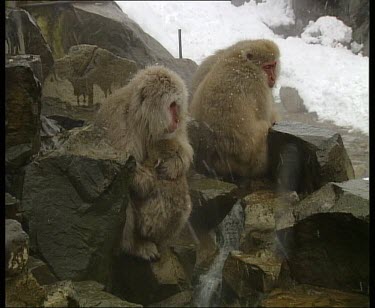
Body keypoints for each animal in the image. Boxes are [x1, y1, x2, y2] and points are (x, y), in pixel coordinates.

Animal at [95, 66, 194, 262]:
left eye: (177, 106)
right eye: (171, 106)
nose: (177, 120)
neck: (142, 119)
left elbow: (181, 146)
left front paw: (173, 164)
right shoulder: (118, 122)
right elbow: (122, 169)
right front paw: (150, 179)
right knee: (122, 191)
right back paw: (133, 246)